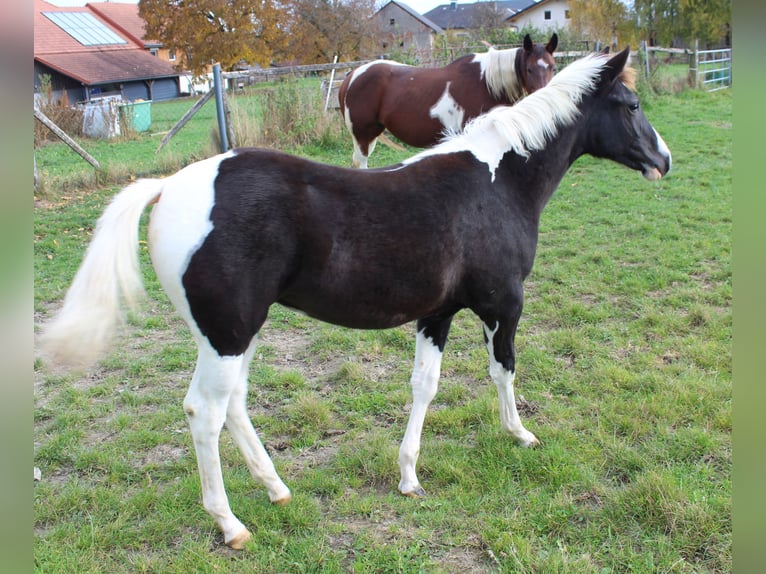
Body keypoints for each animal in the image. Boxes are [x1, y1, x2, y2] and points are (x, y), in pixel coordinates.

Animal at [39, 47, 670, 549]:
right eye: (632, 105)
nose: (664, 160)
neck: (496, 180)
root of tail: (169, 187)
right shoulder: (502, 305)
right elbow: (504, 369)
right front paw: (519, 434)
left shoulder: (437, 314)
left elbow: (425, 386)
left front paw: (409, 477)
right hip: (227, 333)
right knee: (204, 412)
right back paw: (232, 524)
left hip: (238, 333)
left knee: (234, 405)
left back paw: (277, 489)